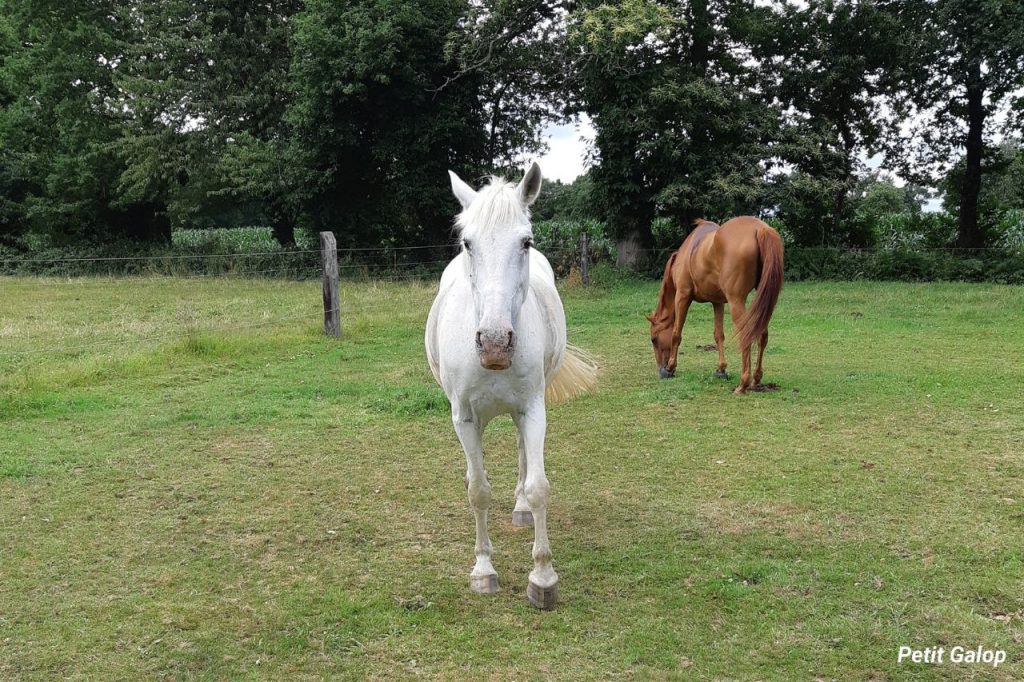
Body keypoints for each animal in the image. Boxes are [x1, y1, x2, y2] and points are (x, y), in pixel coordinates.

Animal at [425, 162, 598, 609]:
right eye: (467, 243)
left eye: (526, 241)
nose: (494, 343)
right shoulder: (464, 418)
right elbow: (478, 492)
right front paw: (483, 570)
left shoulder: (533, 409)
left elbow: (538, 487)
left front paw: (543, 577)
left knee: (522, 455)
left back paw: (519, 510)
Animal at [647, 216, 783, 395]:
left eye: (653, 339)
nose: (660, 370)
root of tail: (761, 229)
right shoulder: (717, 302)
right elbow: (718, 335)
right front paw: (721, 369)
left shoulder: (682, 296)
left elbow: (676, 333)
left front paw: (670, 368)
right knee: (762, 335)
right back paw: (756, 379)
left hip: (736, 301)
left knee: (746, 335)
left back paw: (743, 384)